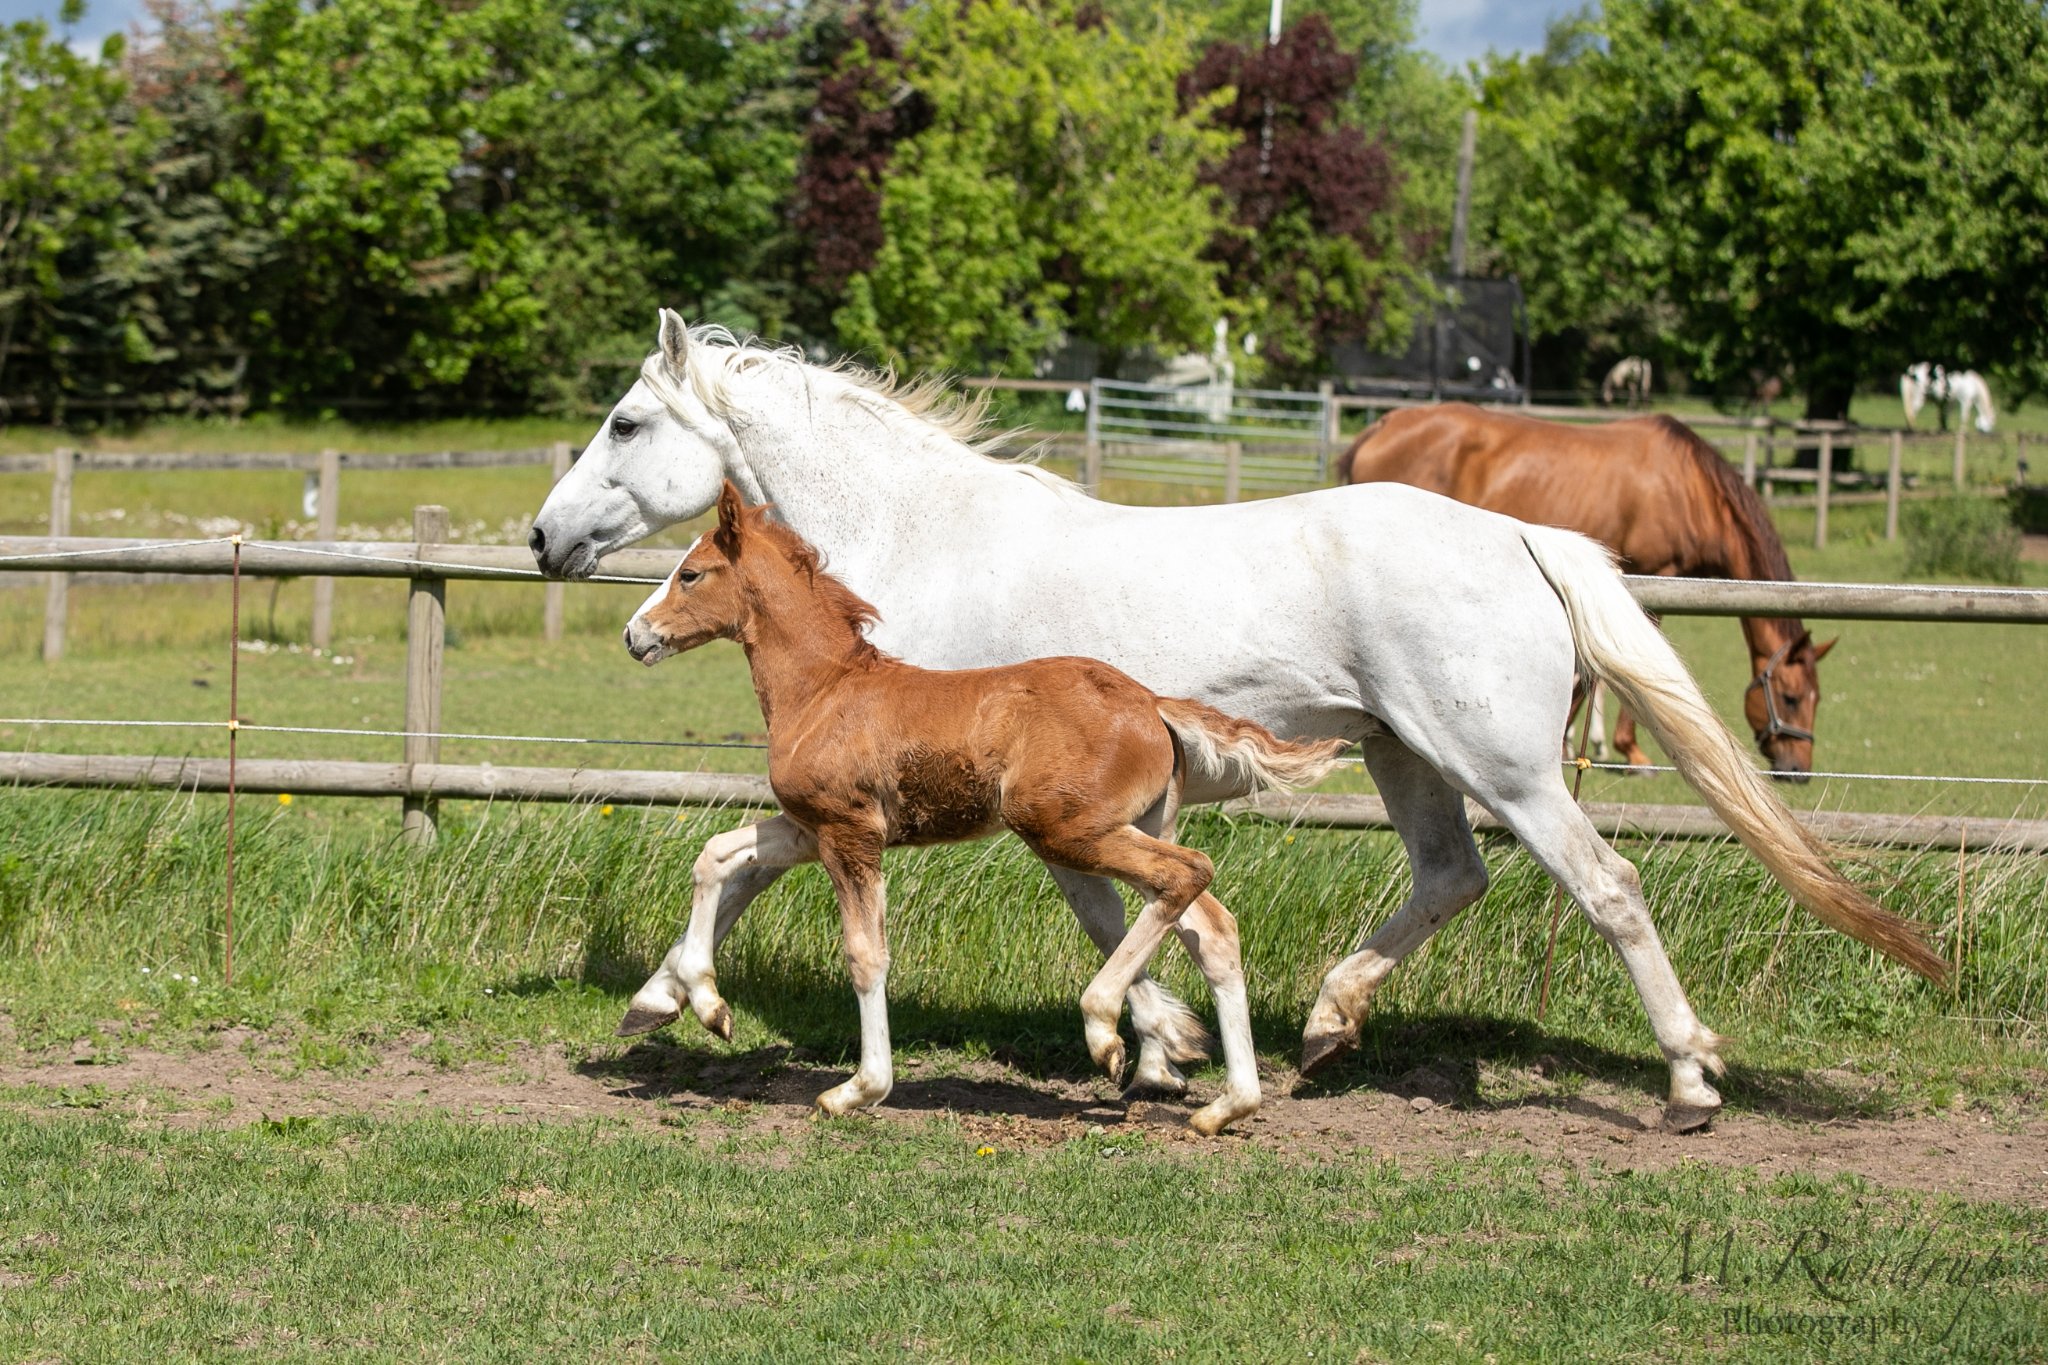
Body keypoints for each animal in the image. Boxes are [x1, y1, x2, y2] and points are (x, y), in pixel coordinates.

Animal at [610, 480, 1343, 1129]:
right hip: (1131, 825)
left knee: (1187, 872)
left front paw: (859, 1089)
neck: (823, 690)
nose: (633, 635)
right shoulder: (808, 827)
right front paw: (705, 1005)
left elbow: (865, 956)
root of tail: (1150, 702)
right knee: (1211, 926)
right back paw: (1227, 1105)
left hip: (1068, 829)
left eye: (690, 574)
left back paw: (1106, 1031)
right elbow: (715, 856)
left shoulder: (850, 833)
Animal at [1335, 401, 1835, 777]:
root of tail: (1381, 426)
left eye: (1816, 699)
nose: (1799, 770)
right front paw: (1627, 751)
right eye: (1791, 698)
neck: (1689, 489)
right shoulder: (1653, 576)